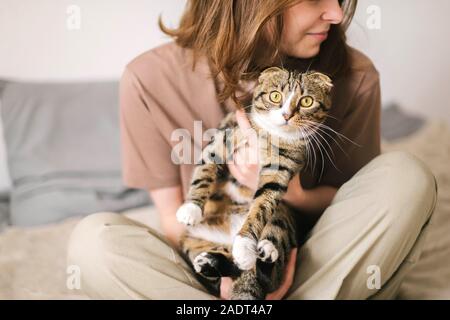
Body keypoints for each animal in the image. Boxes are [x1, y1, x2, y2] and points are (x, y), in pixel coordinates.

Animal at [176, 66, 334, 298]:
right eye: (275, 96)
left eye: (306, 101)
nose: (286, 115)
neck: (270, 137)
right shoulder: (225, 136)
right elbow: (205, 169)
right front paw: (191, 209)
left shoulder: (281, 169)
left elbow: (262, 204)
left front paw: (244, 244)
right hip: (191, 241)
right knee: (222, 275)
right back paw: (209, 263)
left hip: (281, 216)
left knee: (268, 279)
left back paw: (264, 253)